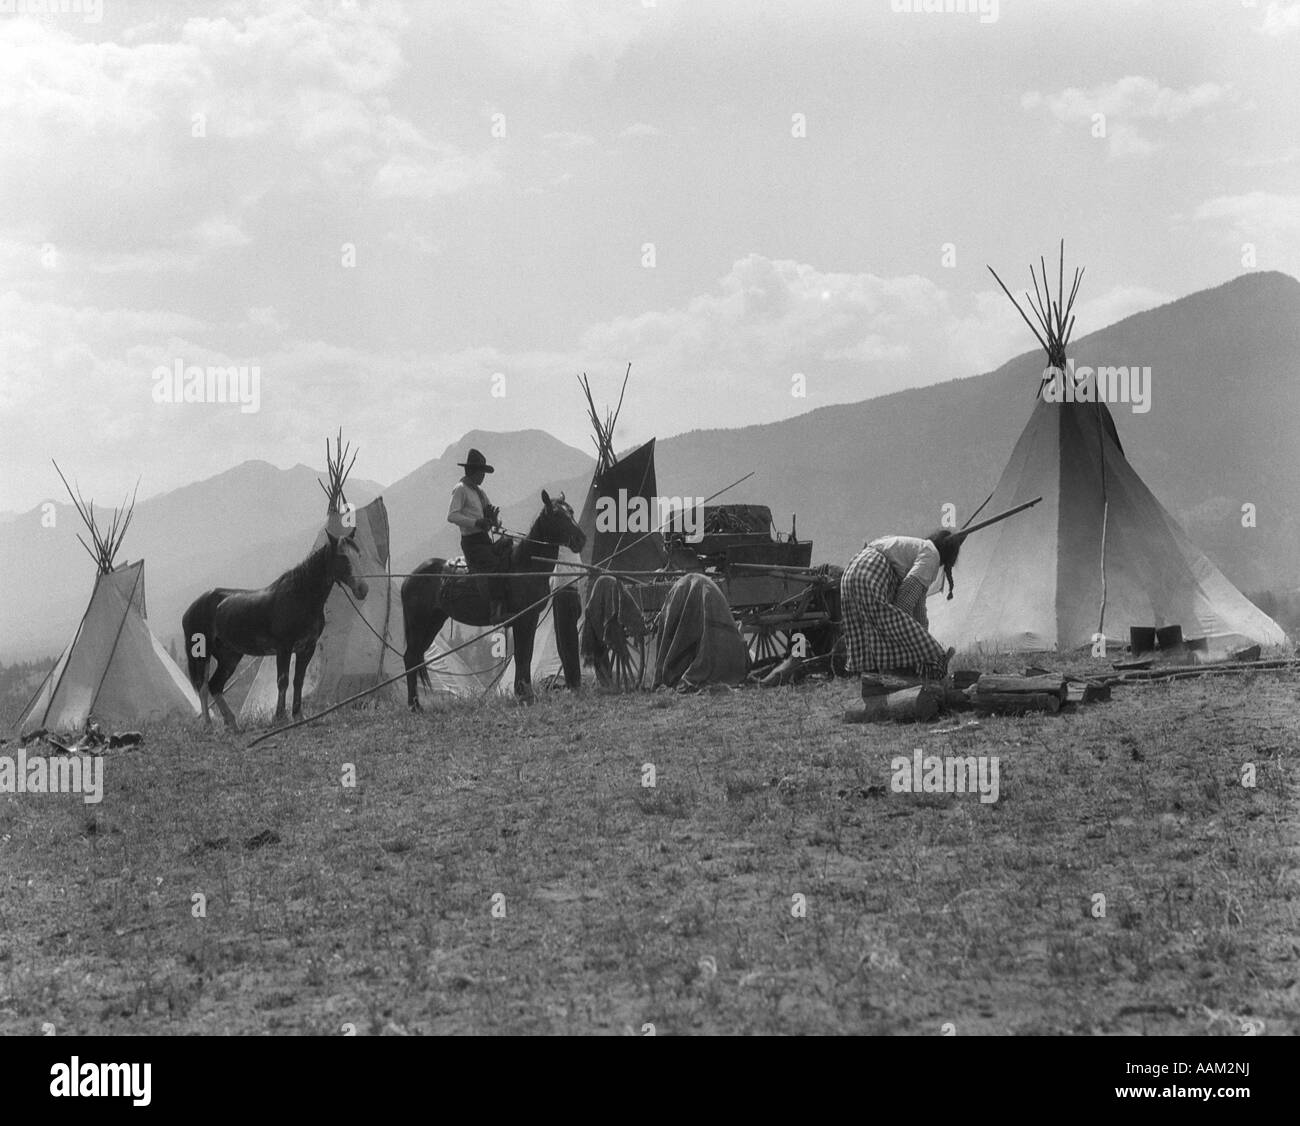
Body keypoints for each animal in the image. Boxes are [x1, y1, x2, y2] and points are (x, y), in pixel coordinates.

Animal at [182, 527, 371, 728]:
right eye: (342, 557)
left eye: (359, 554)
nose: (362, 589)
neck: (300, 597)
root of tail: (192, 608)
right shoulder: (284, 648)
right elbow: (283, 681)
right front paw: (280, 717)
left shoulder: (307, 648)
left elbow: (298, 681)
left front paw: (298, 716)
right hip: (201, 654)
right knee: (202, 687)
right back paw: (209, 725)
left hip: (230, 656)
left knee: (215, 685)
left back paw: (232, 724)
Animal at [397, 486, 587, 707]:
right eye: (556, 514)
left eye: (571, 511)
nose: (581, 540)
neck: (524, 566)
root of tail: (409, 578)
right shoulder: (524, 618)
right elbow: (523, 655)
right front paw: (525, 694)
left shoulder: (530, 617)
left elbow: (526, 654)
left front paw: (523, 692)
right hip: (417, 623)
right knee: (410, 657)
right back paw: (414, 705)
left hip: (433, 622)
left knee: (415, 656)